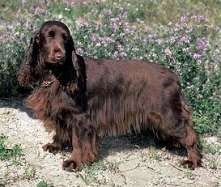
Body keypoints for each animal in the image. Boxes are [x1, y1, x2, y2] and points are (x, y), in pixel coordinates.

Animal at [17, 20, 202, 171]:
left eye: (66, 39)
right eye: (49, 36)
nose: (60, 55)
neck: (57, 74)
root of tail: (175, 77)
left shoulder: (80, 118)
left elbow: (78, 142)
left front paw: (75, 162)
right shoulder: (61, 110)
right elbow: (60, 131)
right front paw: (55, 146)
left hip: (167, 115)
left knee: (190, 134)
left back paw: (192, 161)